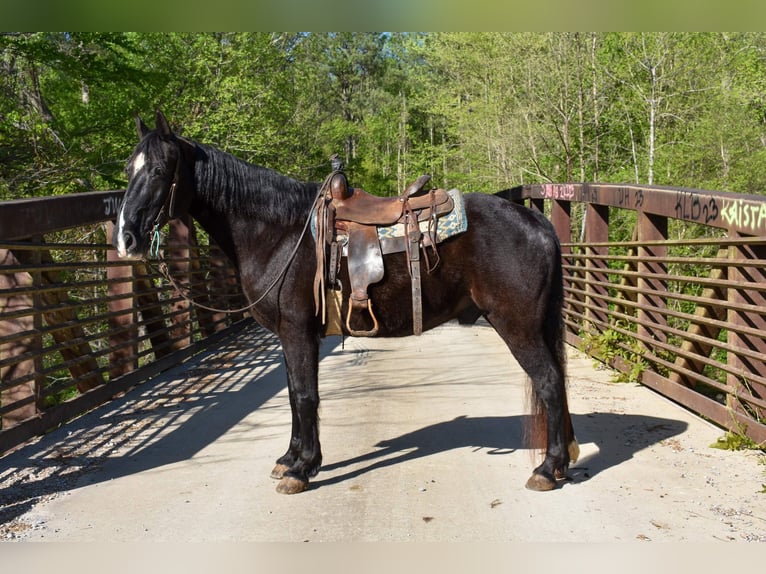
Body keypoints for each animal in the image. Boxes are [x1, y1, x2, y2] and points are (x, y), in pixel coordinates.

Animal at [114, 111, 580, 496]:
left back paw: (547, 468)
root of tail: (534, 220)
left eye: (160, 170)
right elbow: (294, 394)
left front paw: (301, 469)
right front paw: (292, 459)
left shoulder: (298, 332)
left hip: (517, 326)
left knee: (549, 383)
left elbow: (305, 396)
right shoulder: (291, 336)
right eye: (127, 168)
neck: (279, 234)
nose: (126, 238)